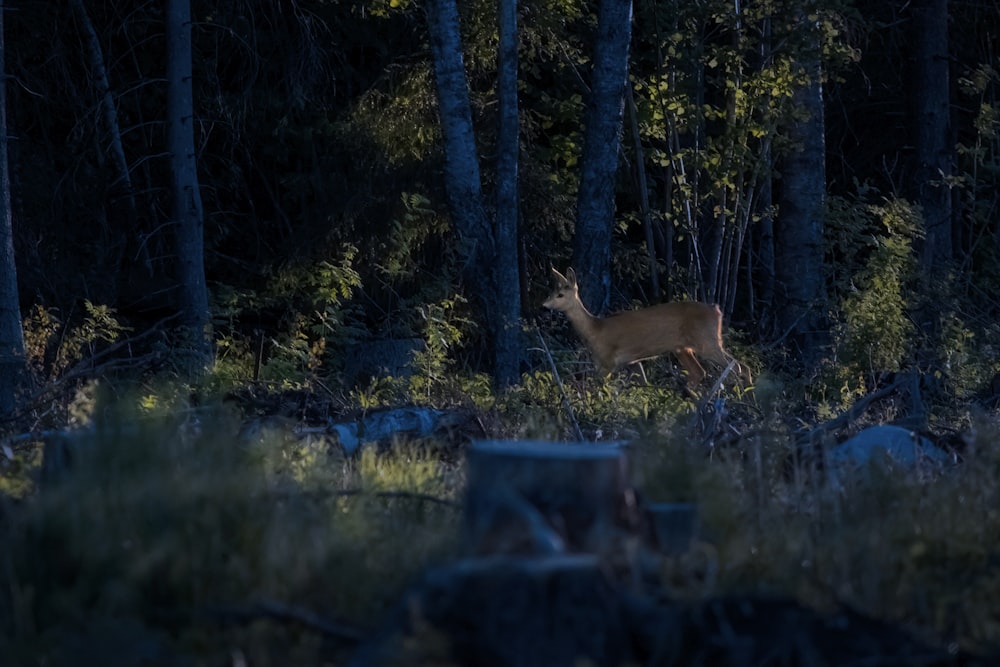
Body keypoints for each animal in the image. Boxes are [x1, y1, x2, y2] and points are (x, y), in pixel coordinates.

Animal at [544, 268, 748, 392]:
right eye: (552, 291)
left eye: (560, 294)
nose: (544, 304)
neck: (594, 330)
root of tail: (717, 310)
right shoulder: (632, 361)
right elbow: (642, 384)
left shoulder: (607, 362)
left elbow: (599, 389)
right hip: (682, 348)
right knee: (700, 372)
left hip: (707, 341)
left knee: (737, 366)